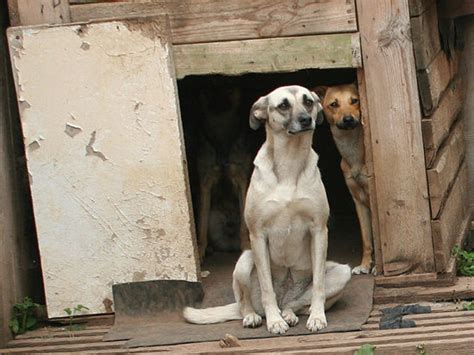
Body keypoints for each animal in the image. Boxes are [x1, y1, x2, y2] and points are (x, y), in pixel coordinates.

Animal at [183, 85, 350, 334]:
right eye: (283, 105)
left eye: (308, 102)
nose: (306, 119)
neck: (290, 161)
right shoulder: (257, 235)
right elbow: (266, 286)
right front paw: (274, 321)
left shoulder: (319, 230)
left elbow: (319, 284)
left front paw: (317, 317)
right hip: (244, 262)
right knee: (246, 303)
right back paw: (255, 316)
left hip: (342, 272)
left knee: (297, 303)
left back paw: (290, 314)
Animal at [314, 84, 374, 276]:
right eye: (334, 104)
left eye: (354, 100)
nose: (348, 119)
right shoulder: (359, 202)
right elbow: (367, 239)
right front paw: (365, 264)